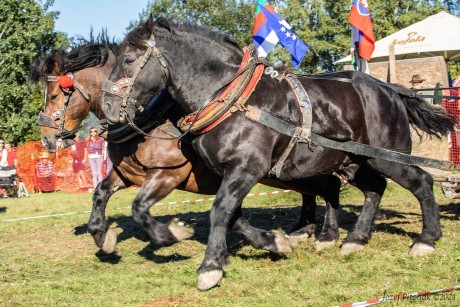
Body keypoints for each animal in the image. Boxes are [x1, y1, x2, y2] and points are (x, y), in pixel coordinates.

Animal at [30, 36, 344, 258]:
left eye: (55, 95)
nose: (46, 139)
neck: (147, 119)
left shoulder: (169, 173)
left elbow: (139, 207)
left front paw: (171, 233)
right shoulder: (126, 173)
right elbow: (99, 192)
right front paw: (100, 234)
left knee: (328, 187)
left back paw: (323, 233)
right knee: (320, 189)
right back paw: (304, 229)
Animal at [100, 17, 452, 292]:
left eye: (129, 59)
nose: (107, 107)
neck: (231, 99)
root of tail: (388, 89)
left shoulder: (246, 168)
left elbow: (219, 212)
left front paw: (208, 265)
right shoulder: (227, 173)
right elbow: (232, 215)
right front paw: (273, 243)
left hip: (386, 156)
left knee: (422, 181)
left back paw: (425, 239)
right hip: (353, 161)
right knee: (374, 188)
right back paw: (355, 239)